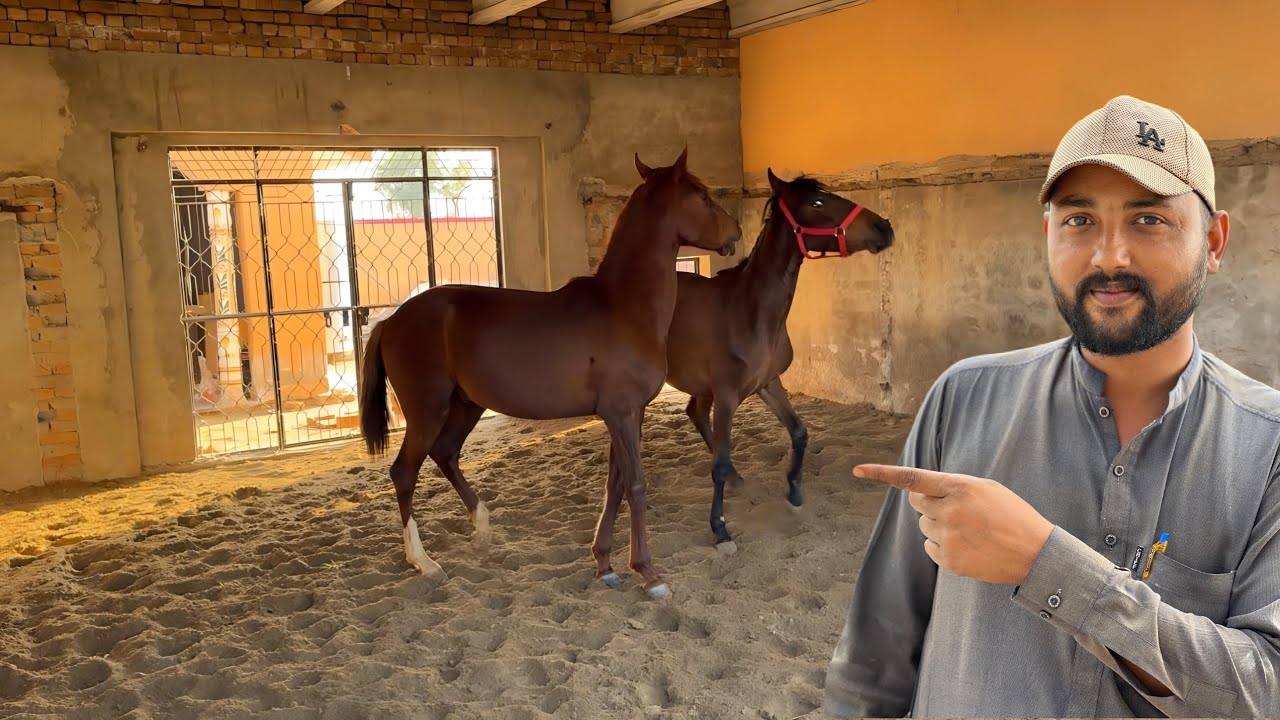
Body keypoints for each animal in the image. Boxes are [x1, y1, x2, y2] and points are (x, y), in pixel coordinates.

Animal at [359, 149, 741, 599]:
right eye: (701, 194)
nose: (736, 231)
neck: (623, 307)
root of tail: (392, 320)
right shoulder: (622, 414)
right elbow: (636, 487)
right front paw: (648, 573)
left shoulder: (627, 415)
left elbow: (614, 486)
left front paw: (605, 564)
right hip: (427, 411)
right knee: (405, 472)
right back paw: (424, 561)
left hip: (466, 406)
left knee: (446, 454)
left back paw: (482, 527)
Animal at [663, 169, 894, 549]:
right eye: (817, 203)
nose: (883, 227)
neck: (750, 312)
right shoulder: (727, 396)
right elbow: (719, 462)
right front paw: (720, 529)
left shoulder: (768, 383)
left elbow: (799, 433)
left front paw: (794, 493)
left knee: (694, 413)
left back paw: (739, 479)